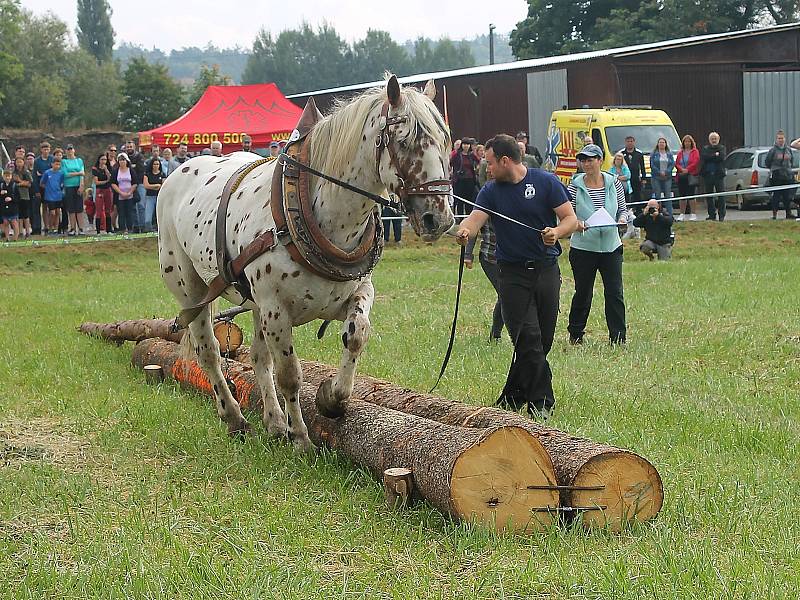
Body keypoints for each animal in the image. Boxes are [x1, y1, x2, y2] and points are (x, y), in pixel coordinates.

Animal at [158, 75, 456, 450]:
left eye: (445, 142)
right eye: (405, 141)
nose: (439, 218)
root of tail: (179, 172)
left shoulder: (353, 293)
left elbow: (357, 334)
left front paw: (332, 398)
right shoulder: (276, 310)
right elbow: (290, 375)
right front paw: (300, 437)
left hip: (254, 305)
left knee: (258, 357)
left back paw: (273, 422)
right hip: (192, 291)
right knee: (209, 352)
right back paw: (234, 417)